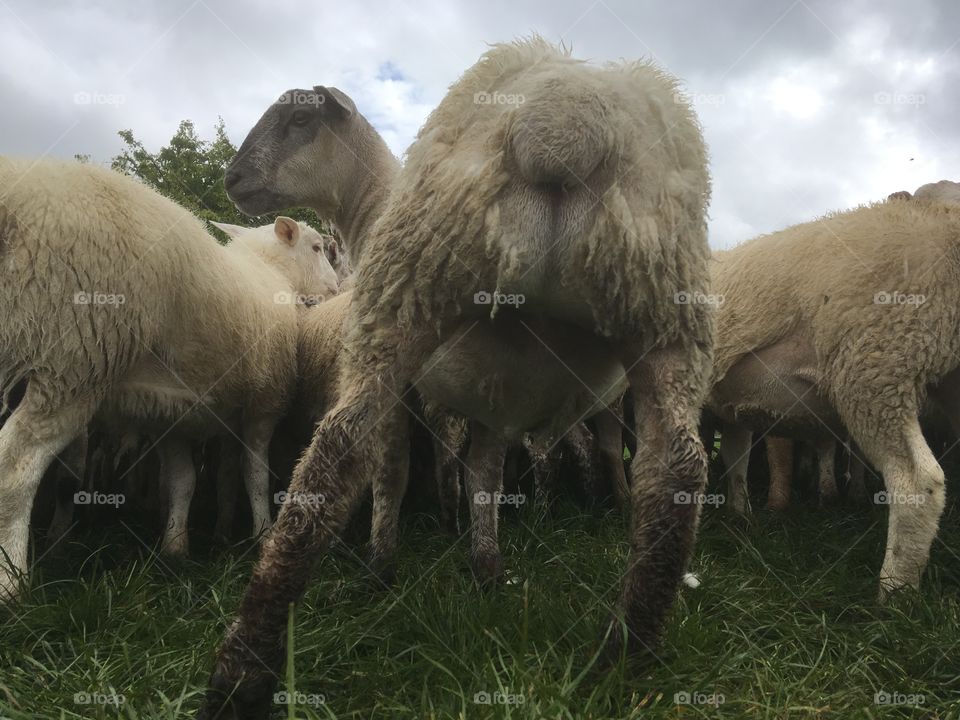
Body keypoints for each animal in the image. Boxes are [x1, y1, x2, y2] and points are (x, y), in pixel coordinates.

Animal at [0, 157, 339, 597]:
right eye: (316, 247)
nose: (336, 287)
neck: (272, 274)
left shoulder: (175, 412)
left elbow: (183, 482)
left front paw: (175, 549)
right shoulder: (265, 404)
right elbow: (256, 475)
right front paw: (263, 534)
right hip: (77, 353)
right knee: (16, 466)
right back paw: (11, 582)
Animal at [200, 37, 712, 716]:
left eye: (301, 119)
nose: (231, 180)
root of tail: (567, 120)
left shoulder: (424, 390)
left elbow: (394, 469)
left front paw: (387, 562)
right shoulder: (499, 397)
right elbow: (482, 475)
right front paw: (485, 564)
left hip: (405, 291)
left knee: (335, 453)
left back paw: (241, 672)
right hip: (664, 306)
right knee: (672, 469)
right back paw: (626, 655)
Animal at [707, 189, 960, 602]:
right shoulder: (730, 407)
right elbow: (734, 458)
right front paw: (738, 514)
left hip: (875, 364)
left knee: (917, 481)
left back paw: (895, 593)